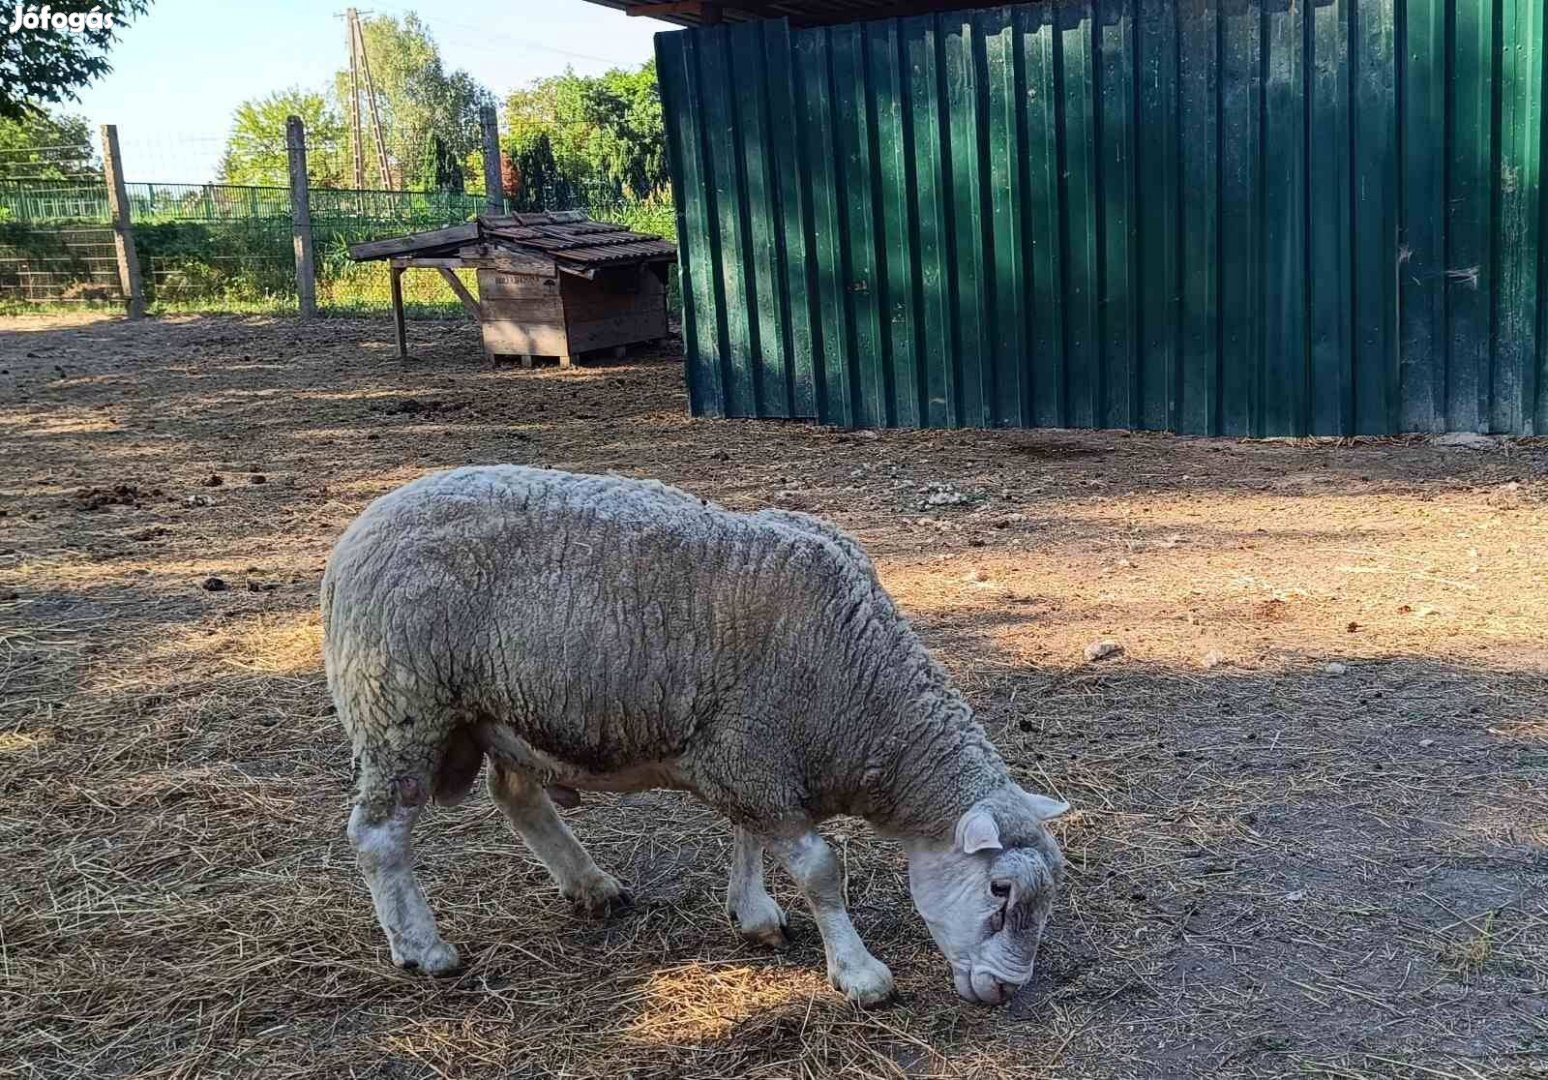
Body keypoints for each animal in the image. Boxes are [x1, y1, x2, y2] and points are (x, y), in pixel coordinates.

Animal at [320, 467, 1071, 1002]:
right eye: (1000, 890)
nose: (1006, 990)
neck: (861, 691)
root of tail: (360, 528)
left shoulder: (748, 756)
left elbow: (749, 840)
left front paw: (754, 913)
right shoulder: (752, 757)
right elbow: (820, 871)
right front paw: (859, 973)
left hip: (503, 713)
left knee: (518, 797)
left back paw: (591, 884)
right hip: (400, 705)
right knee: (378, 835)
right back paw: (422, 949)